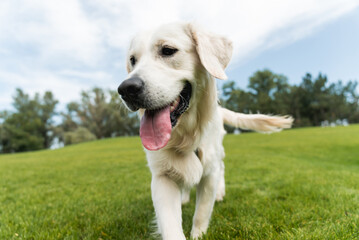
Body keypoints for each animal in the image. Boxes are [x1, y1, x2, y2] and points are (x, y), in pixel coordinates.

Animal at [117, 23, 292, 240]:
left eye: (168, 50)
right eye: (133, 60)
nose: (126, 89)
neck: (185, 136)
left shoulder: (209, 170)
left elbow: (202, 210)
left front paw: (198, 233)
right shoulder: (162, 176)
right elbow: (170, 225)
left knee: (222, 168)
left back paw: (220, 192)